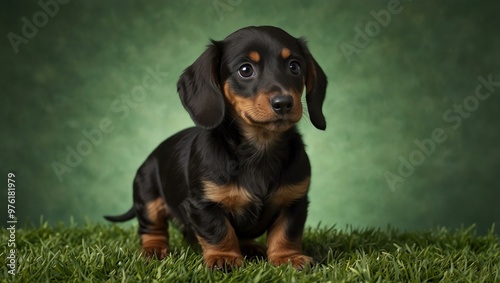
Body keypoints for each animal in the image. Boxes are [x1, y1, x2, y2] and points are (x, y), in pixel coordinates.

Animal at [104, 25, 328, 270]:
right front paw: (225, 258)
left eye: (294, 66)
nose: (284, 103)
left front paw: (288, 257)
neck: (260, 148)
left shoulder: (294, 200)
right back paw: (153, 250)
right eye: (245, 70)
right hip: (148, 197)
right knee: (152, 229)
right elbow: (219, 231)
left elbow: (286, 232)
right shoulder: (203, 204)